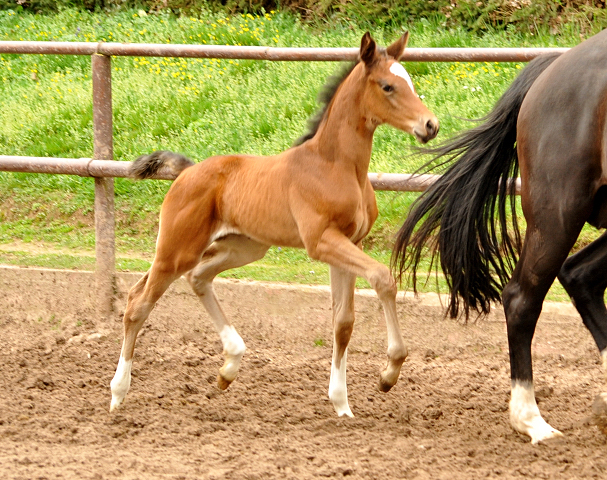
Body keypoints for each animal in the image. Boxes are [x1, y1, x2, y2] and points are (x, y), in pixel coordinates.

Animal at [110, 32, 442, 416]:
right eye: (388, 86)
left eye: (410, 81)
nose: (430, 125)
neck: (336, 165)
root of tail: (186, 172)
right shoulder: (322, 242)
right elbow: (383, 278)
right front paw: (389, 373)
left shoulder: (349, 242)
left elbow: (343, 322)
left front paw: (342, 404)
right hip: (177, 249)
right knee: (138, 303)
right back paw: (118, 394)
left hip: (243, 247)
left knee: (198, 278)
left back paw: (229, 366)